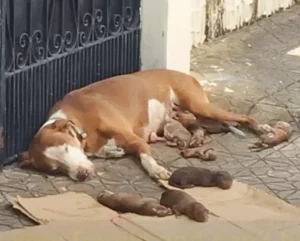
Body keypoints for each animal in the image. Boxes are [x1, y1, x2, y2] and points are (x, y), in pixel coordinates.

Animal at [17, 68, 258, 182]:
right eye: (56, 169)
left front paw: (156, 169)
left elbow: (145, 156)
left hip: (199, 105)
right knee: (208, 126)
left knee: (244, 118)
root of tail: (185, 74)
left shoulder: (134, 138)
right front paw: (112, 152)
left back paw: (261, 129)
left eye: (67, 149)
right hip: (193, 115)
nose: (82, 175)